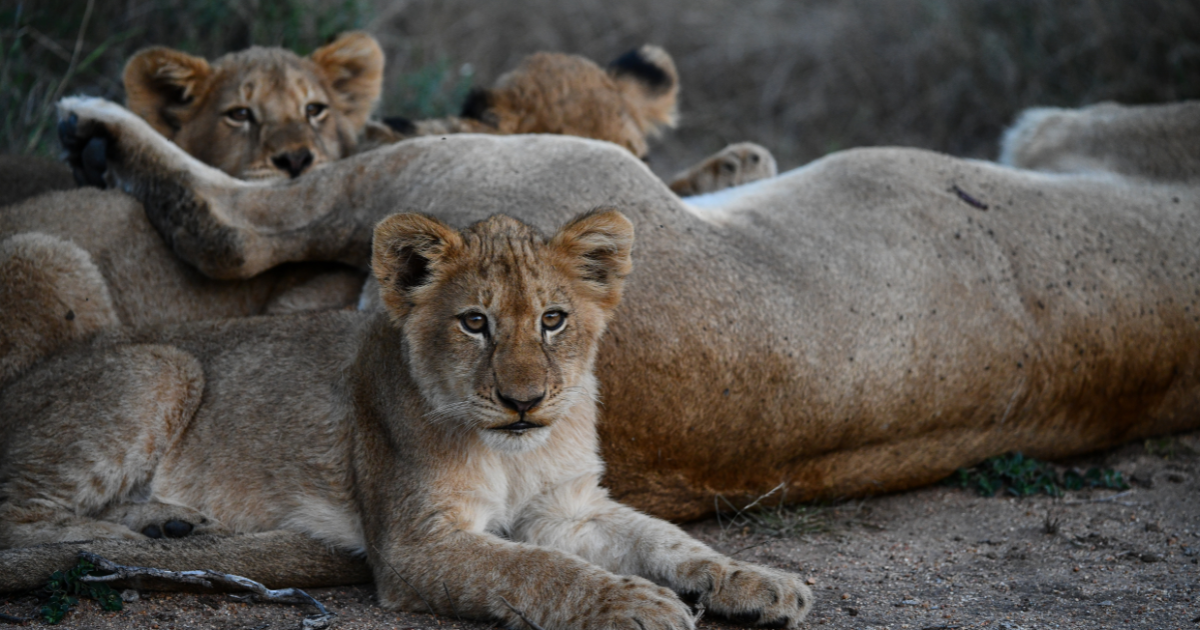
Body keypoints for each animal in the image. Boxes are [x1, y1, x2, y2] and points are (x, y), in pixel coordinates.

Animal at [0, 208, 813, 628]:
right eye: (475, 322)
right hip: (164, 364)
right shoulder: (417, 542)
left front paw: (758, 581)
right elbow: (536, 569)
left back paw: (172, 522)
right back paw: (133, 540)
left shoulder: (569, 507)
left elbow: (667, 537)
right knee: (19, 512)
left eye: (553, 319)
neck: (515, 451)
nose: (524, 400)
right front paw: (634, 603)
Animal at [46, 97, 1200, 528]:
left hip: (505, 169)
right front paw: (732, 161)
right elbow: (749, 158)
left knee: (236, 227)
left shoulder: (1072, 135)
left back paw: (98, 133)